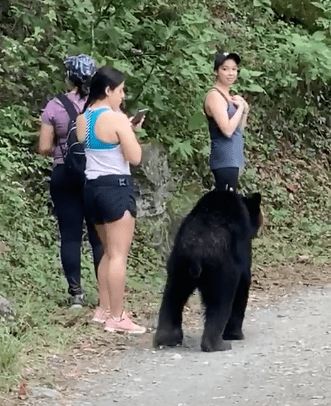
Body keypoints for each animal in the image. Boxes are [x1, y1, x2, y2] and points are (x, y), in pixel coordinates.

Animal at [154, 190, 264, 352]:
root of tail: (195, 251)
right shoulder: (241, 247)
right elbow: (243, 284)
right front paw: (235, 334)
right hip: (220, 269)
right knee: (220, 302)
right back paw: (218, 344)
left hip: (178, 265)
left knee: (173, 296)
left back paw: (166, 338)